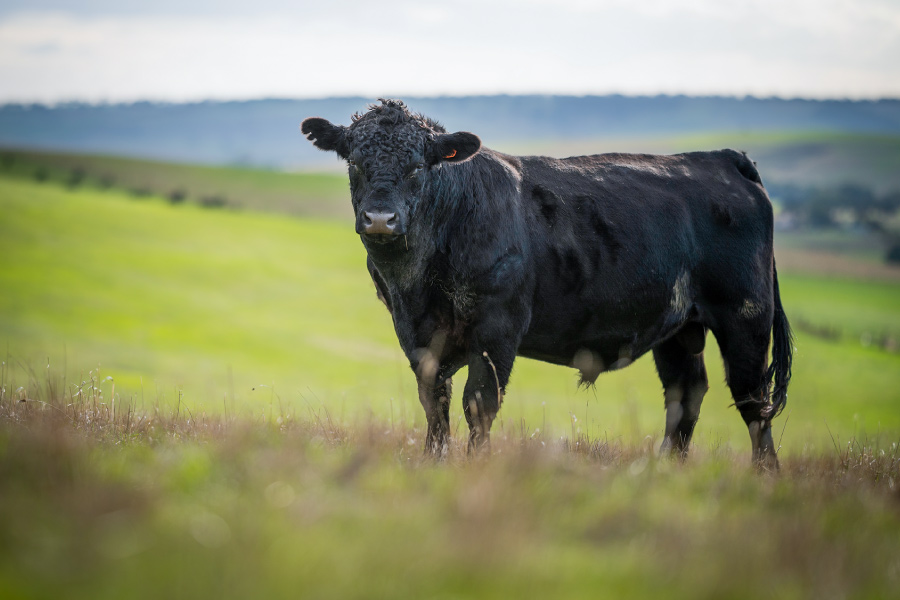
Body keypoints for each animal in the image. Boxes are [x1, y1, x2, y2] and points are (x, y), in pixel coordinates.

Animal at [301, 99, 793, 469]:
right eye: (354, 162)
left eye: (418, 167)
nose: (379, 219)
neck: (417, 282)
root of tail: (720, 158)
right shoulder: (416, 333)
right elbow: (434, 402)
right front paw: (433, 461)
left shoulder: (497, 328)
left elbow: (479, 403)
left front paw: (474, 468)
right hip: (679, 327)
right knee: (685, 393)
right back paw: (665, 469)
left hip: (745, 316)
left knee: (752, 397)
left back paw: (765, 476)